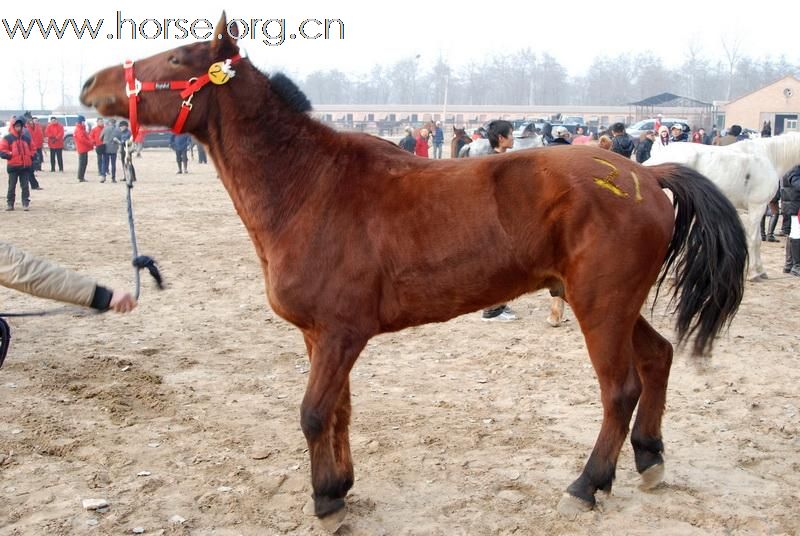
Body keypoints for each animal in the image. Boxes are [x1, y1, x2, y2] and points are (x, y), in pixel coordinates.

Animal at [78, 14, 748, 528]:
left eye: (177, 56)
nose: (89, 84)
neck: (311, 186)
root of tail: (648, 175)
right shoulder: (322, 336)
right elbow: (339, 411)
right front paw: (339, 486)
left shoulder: (340, 334)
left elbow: (313, 413)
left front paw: (326, 504)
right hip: (613, 304)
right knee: (658, 358)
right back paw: (650, 458)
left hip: (600, 306)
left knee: (620, 390)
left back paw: (588, 484)